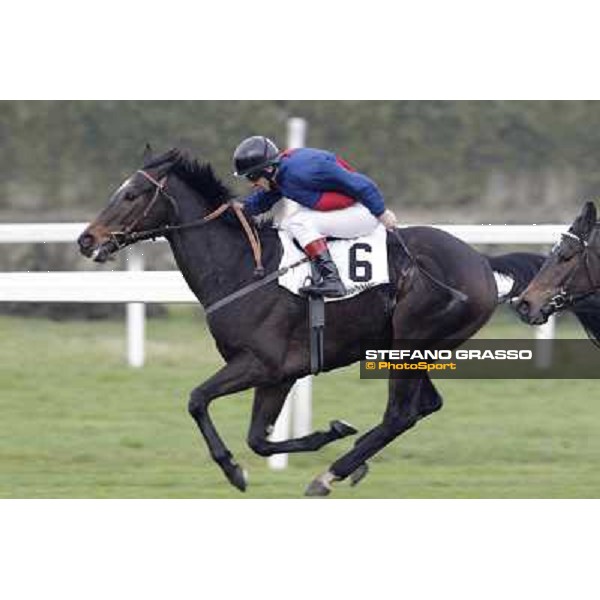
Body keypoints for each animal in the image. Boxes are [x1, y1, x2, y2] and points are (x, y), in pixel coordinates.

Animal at [79, 148, 500, 494]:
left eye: (131, 194)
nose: (86, 239)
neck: (242, 267)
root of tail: (482, 263)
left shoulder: (261, 363)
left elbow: (197, 399)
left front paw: (232, 469)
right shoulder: (279, 375)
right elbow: (258, 440)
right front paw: (328, 432)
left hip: (410, 344)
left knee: (400, 413)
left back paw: (330, 475)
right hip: (410, 348)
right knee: (425, 405)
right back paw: (351, 464)